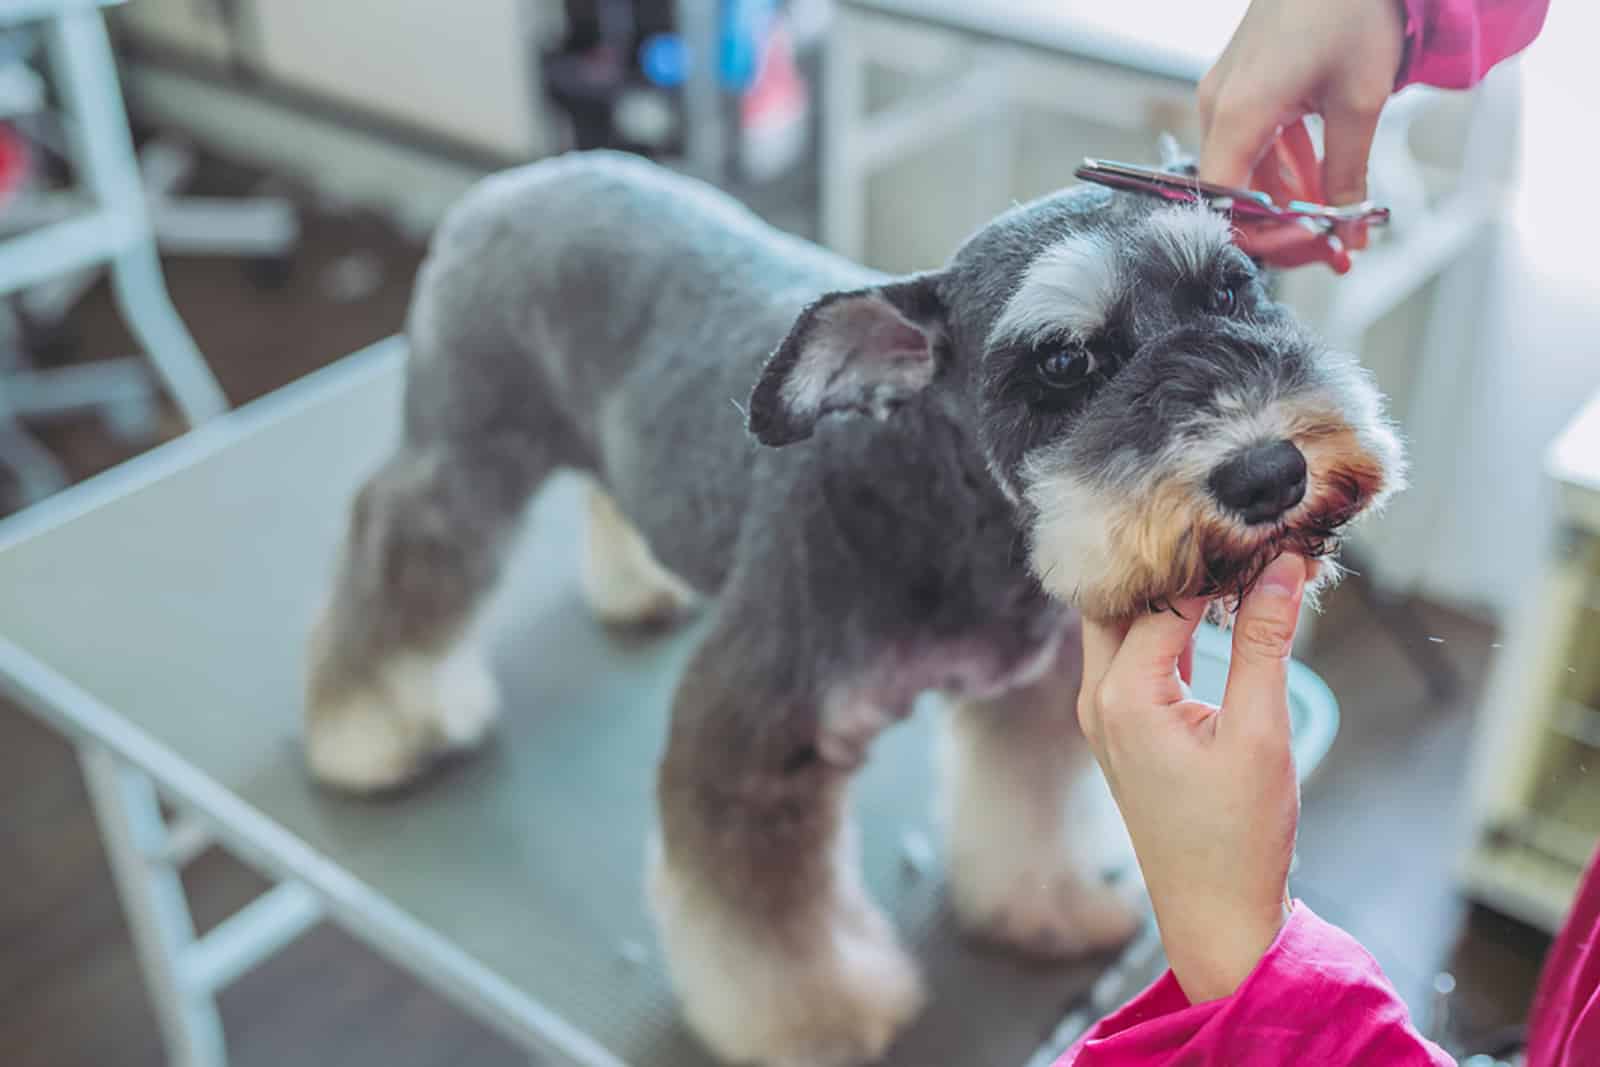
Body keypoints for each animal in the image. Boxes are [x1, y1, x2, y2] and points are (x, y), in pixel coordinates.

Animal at [300, 150, 1401, 1067]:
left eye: (1235, 288)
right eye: (1060, 361)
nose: (1269, 472)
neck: (948, 511)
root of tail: (517, 181)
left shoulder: (1033, 696)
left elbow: (1030, 811)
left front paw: (1042, 907)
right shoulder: (757, 729)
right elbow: (766, 920)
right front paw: (811, 1020)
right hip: (468, 448)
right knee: (403, 541)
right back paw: (368, 727)